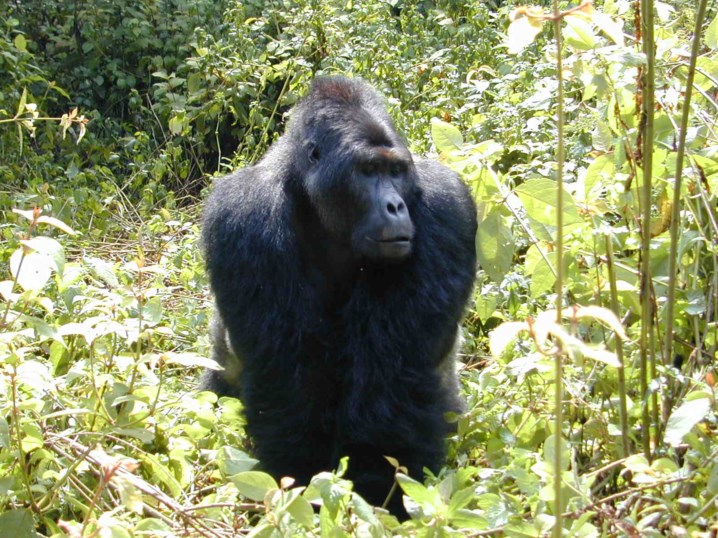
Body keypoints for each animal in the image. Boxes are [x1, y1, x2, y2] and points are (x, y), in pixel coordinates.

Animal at [200, 76, 478, 516]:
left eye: (395, 171)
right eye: (367, 171)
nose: (395, 206)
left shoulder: (445, 204)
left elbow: (392, 384)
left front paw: (382, 498)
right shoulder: (245, 215)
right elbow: (288, 380)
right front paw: (302, 486)